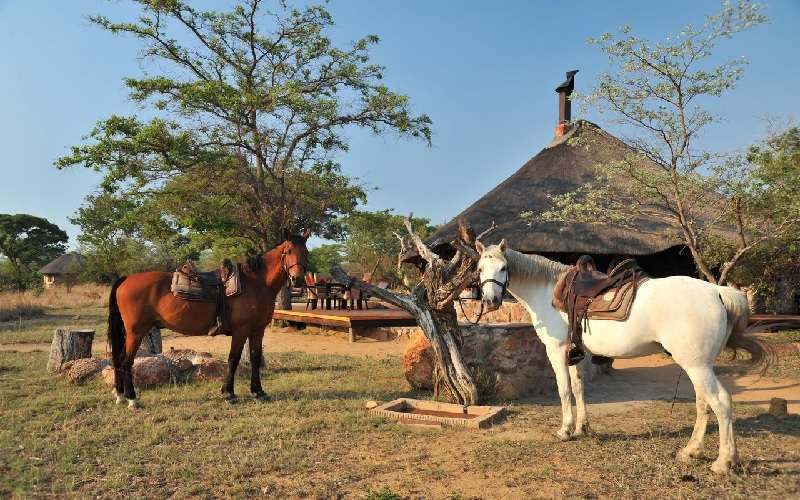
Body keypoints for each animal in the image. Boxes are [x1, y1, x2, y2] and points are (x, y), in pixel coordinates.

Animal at [111, 232, 310, 408]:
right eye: (288, 251)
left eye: (306, 252)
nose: (298, 279)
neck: (256, 283)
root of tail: (126, 279)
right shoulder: (241, 330)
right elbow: (233, 359)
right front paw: (229, 393)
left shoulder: (257, 330)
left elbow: (254, 358)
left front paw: (258, 392)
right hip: (136, 332)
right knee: (126, 361)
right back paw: (132, 400)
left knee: (120, 360)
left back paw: (121, 396)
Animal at [478, 240, 764, 474]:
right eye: (480, 269)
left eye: (503, 268)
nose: (491, 301)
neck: (550, 292)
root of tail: (718, 292)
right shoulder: (578, 353)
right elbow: (579, 388)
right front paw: (582, 428)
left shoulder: (556, 350)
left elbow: (564, 390)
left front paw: (565, 430)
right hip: (699, 365)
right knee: (703, 403)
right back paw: (690, 451)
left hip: (697, 366)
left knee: (721, 402)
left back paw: (724, 462)